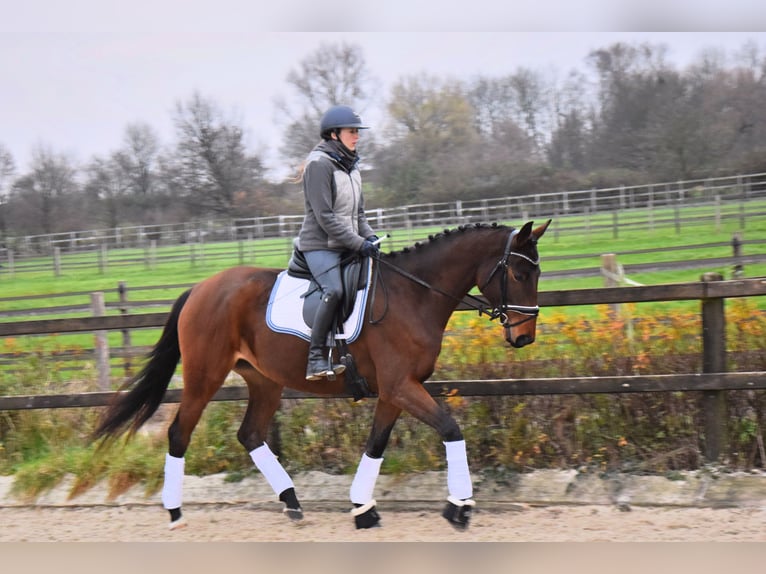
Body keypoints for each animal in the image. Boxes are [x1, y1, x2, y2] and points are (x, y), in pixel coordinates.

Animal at [94, 220, 552, 532]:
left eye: (538, 273)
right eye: (517, 274)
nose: (524, 337)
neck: (414, 295)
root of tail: (201, 288)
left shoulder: (394, 392)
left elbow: (376, 444)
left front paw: (363, 509)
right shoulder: (402, 387)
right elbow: (451, 429)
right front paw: (460, 506)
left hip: (265, 381)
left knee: (250, 434)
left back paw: (293, 502)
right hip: (204, 377)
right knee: (179, 433)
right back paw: (175, 511)